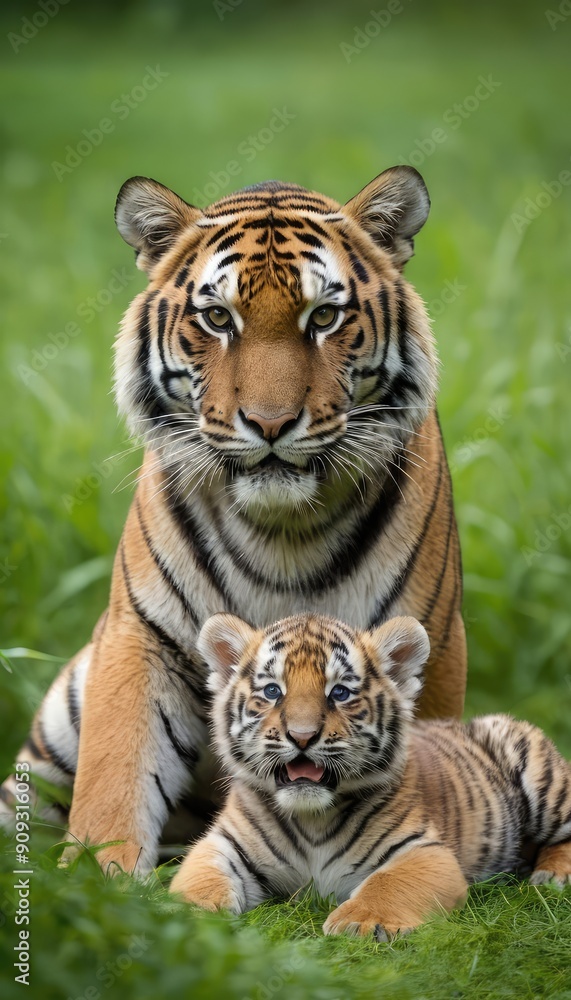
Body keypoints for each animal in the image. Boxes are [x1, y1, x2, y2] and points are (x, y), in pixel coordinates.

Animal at [1, 166, 466, 876]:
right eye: (219, 318)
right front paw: (99, 883)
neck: (284, 531)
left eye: (324, 316)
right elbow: (114, 783)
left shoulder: (431, 639)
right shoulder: (144, 637)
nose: (271, 424)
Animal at [170, 612, 571, 939]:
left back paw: (553, 875)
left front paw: (360, 922)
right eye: (272, 691)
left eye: (340, 693)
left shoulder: (425, 851)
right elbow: (198, 878)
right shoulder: (223, 843)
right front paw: (184, 915)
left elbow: (389, 883)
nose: (302, 736)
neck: (311, 818)